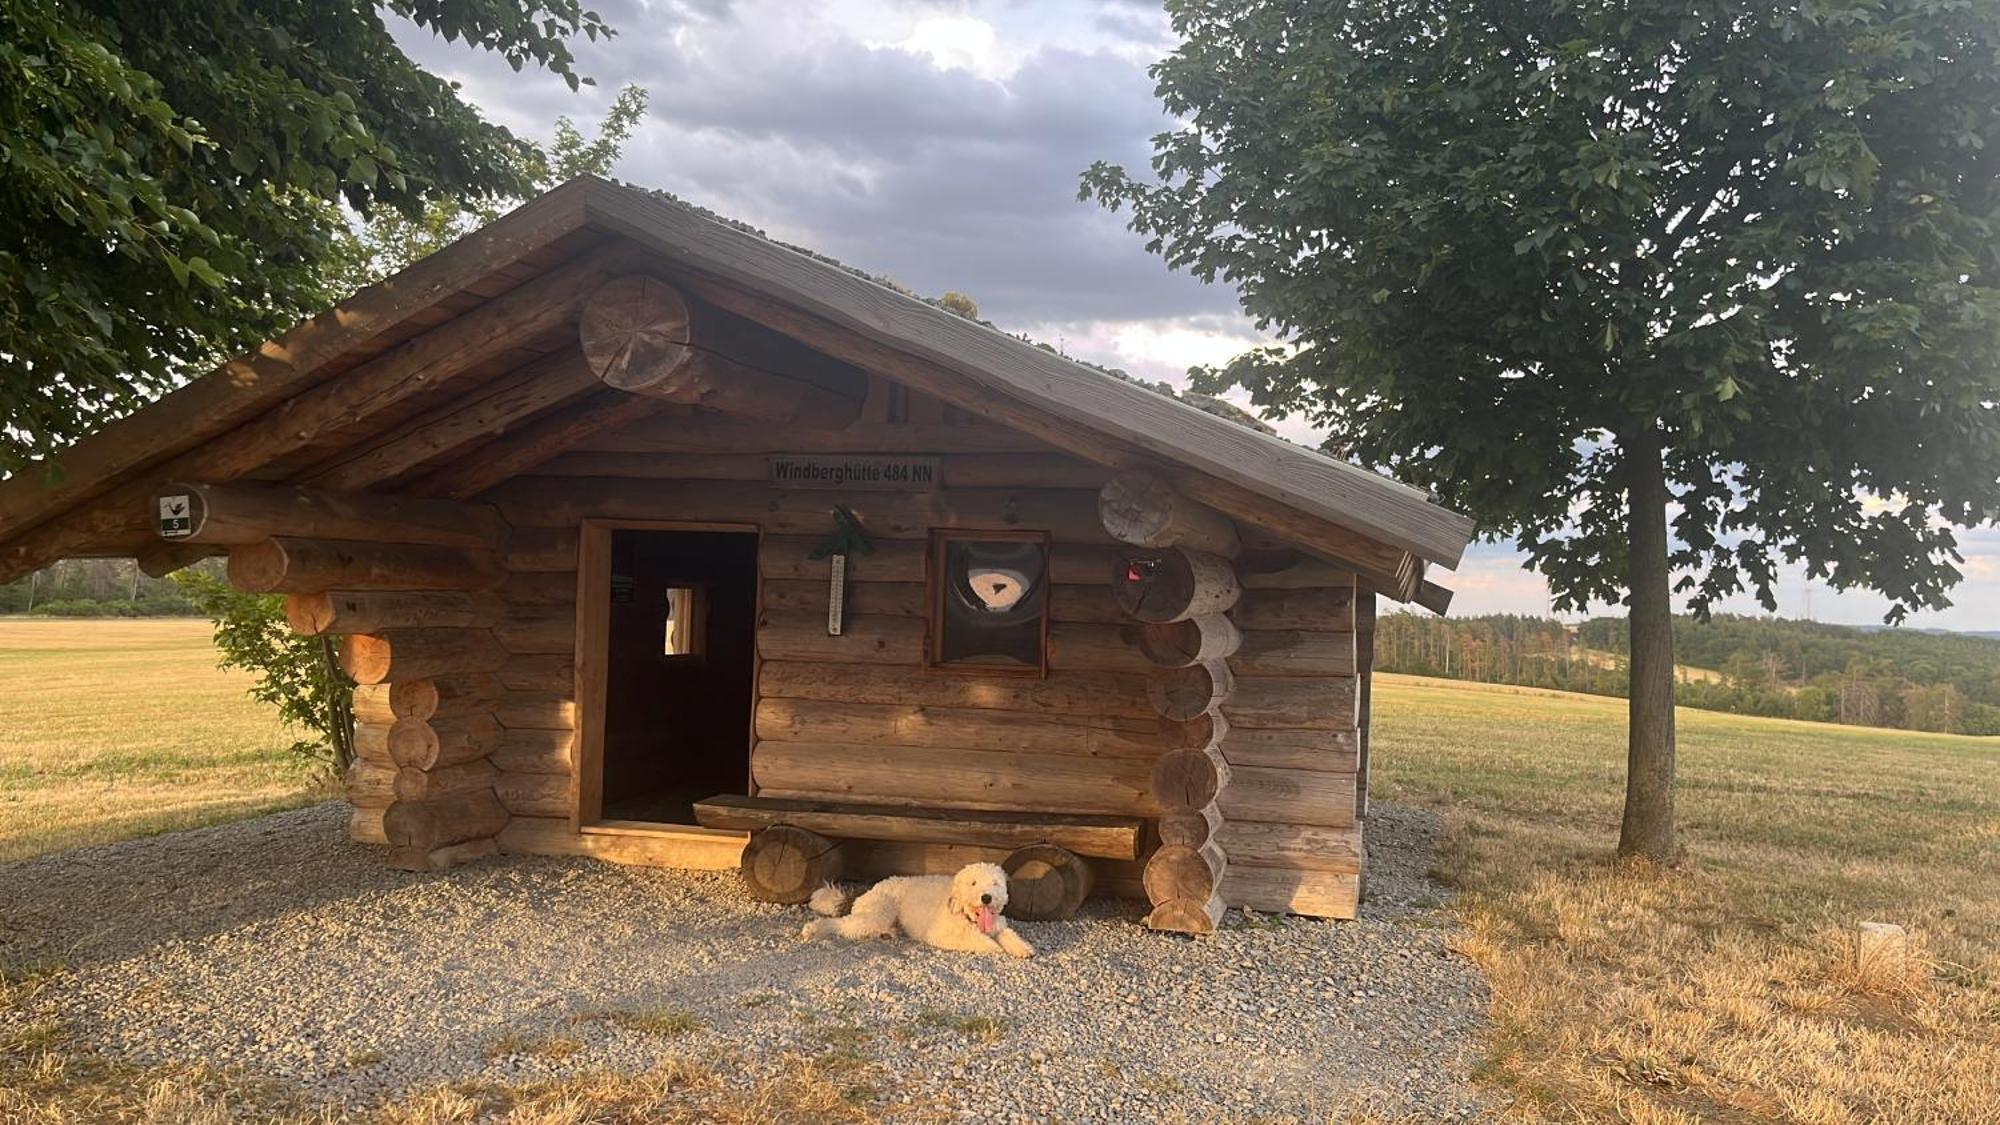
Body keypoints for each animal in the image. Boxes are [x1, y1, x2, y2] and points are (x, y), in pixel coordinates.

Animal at [800, 856, 1032, 952]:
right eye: (973, 882)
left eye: (995, 883)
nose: (986, 897)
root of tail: (871, 888)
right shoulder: (941, 934)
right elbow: (977, 940)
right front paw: (993, 946)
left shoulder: (998, 925)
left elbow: (1008, 934)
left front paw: (1022, 948)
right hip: (877, 913)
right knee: (841, 924)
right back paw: (814, 929)